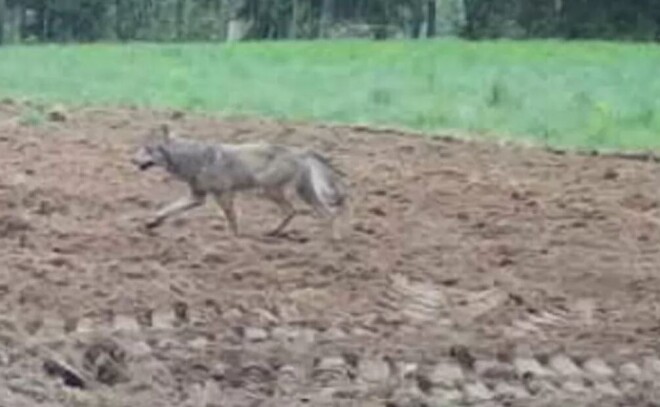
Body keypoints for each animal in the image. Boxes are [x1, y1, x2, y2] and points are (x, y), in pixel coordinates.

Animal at [127, 124, 346, 239]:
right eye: (141, 148)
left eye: (148, 149)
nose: (131, 160)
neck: (191, 159)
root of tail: (300, 151)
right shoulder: (196, 197)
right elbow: (166, 210)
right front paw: (151, 223)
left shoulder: (223, 194)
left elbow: (231, 220)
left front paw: (234, 240)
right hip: (292, 192)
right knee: (311, 212)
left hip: (271, 191)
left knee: (310, 212)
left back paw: (329, 243)